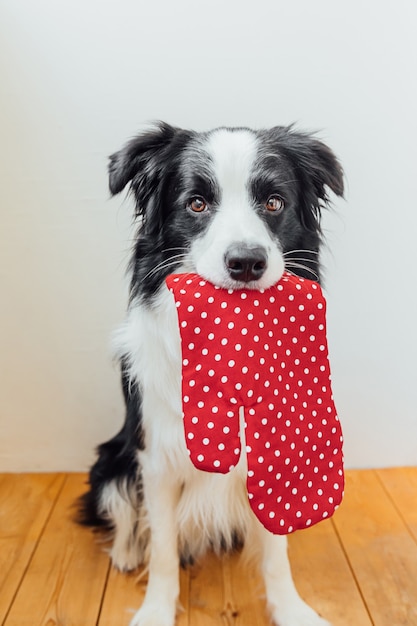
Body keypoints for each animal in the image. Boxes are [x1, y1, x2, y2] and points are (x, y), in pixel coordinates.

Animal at [77, 122, 342, 624]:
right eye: (196, 203)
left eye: (273, 202)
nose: (246, 263)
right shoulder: (156, 457)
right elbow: (162, 550)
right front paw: (156, 611)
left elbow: (276, 555)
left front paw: (290, 609)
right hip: (112, 458)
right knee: (122, 511)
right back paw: (125, 552)